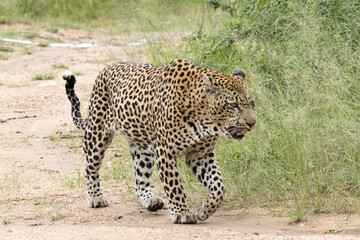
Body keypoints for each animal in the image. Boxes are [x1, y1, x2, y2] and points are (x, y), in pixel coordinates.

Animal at [64, 59, 256, 224]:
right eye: (233, 105)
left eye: (252, 103)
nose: (252, 123)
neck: (205, 120)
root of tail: (106, 68)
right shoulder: (165, 151)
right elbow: (174, 185)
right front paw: (182, 214)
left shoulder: (200, 155)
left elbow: (218, 186)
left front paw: (204, 210)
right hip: (97, 135)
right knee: (91, 168)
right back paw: (95, 198)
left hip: (142, 148)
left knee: (139, 180)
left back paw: (151, 201)